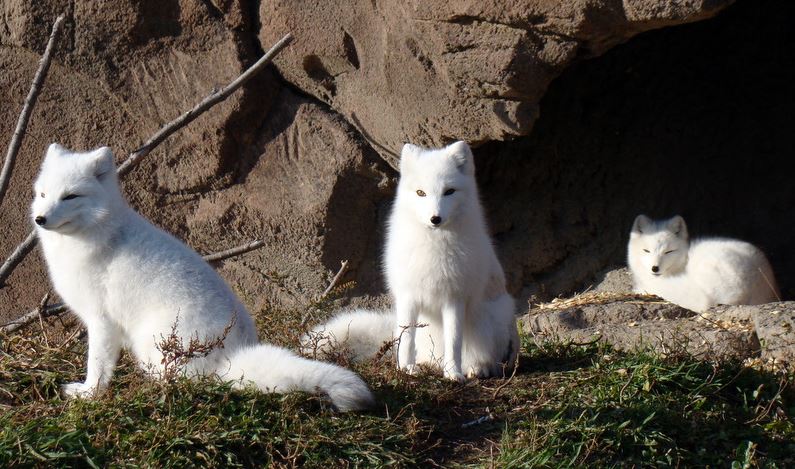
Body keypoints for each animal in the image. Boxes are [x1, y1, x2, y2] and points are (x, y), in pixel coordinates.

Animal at [30, 143, 374, 411]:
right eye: (43, 194)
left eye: (71, 196)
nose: (40, 219)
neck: (95, 236)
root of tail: (231, 354)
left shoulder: (101, 320)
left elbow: (98, 365)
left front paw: (89, 394)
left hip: (155, 342)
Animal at [304, 141, 520, 382]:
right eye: (420, 193)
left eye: (449, 192)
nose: (435, 219)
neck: (432, 246)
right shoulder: (408, 296)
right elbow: (406, 339)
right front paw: (405, 369)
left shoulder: (454, 298)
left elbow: (454, 342)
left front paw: (453, 372)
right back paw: (427, 364)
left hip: (492, 319)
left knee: (485, 356)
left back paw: (476, 368)